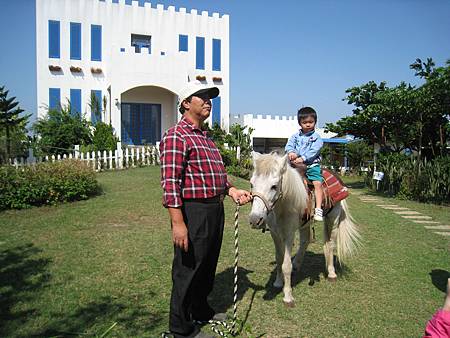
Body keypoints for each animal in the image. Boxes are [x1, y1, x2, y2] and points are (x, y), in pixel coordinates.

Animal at [248, 152, 360, 304]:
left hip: (333, 218)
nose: (255, 220)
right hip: (305, 224)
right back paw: (297, 264)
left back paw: (331, 273)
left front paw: (288, 296)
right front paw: (278, 282)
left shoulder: (289, 234)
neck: (283, 206)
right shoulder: (275, 233)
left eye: (274, 186)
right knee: (305, 241)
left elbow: (286, 265)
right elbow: (279, 258)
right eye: (252, 183)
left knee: (330, 244)